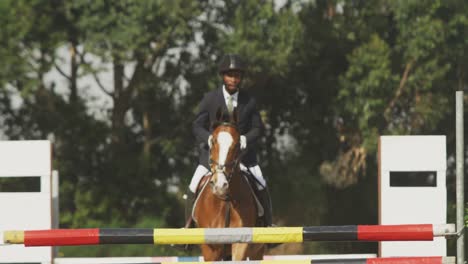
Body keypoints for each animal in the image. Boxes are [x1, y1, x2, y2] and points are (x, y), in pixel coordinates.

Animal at [192, 108, 266, 260]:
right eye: (213, 141)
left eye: (237, 144)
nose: (220, 185)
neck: (225, 201)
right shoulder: (210, 249)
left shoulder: (240, 243)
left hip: (257, 251)